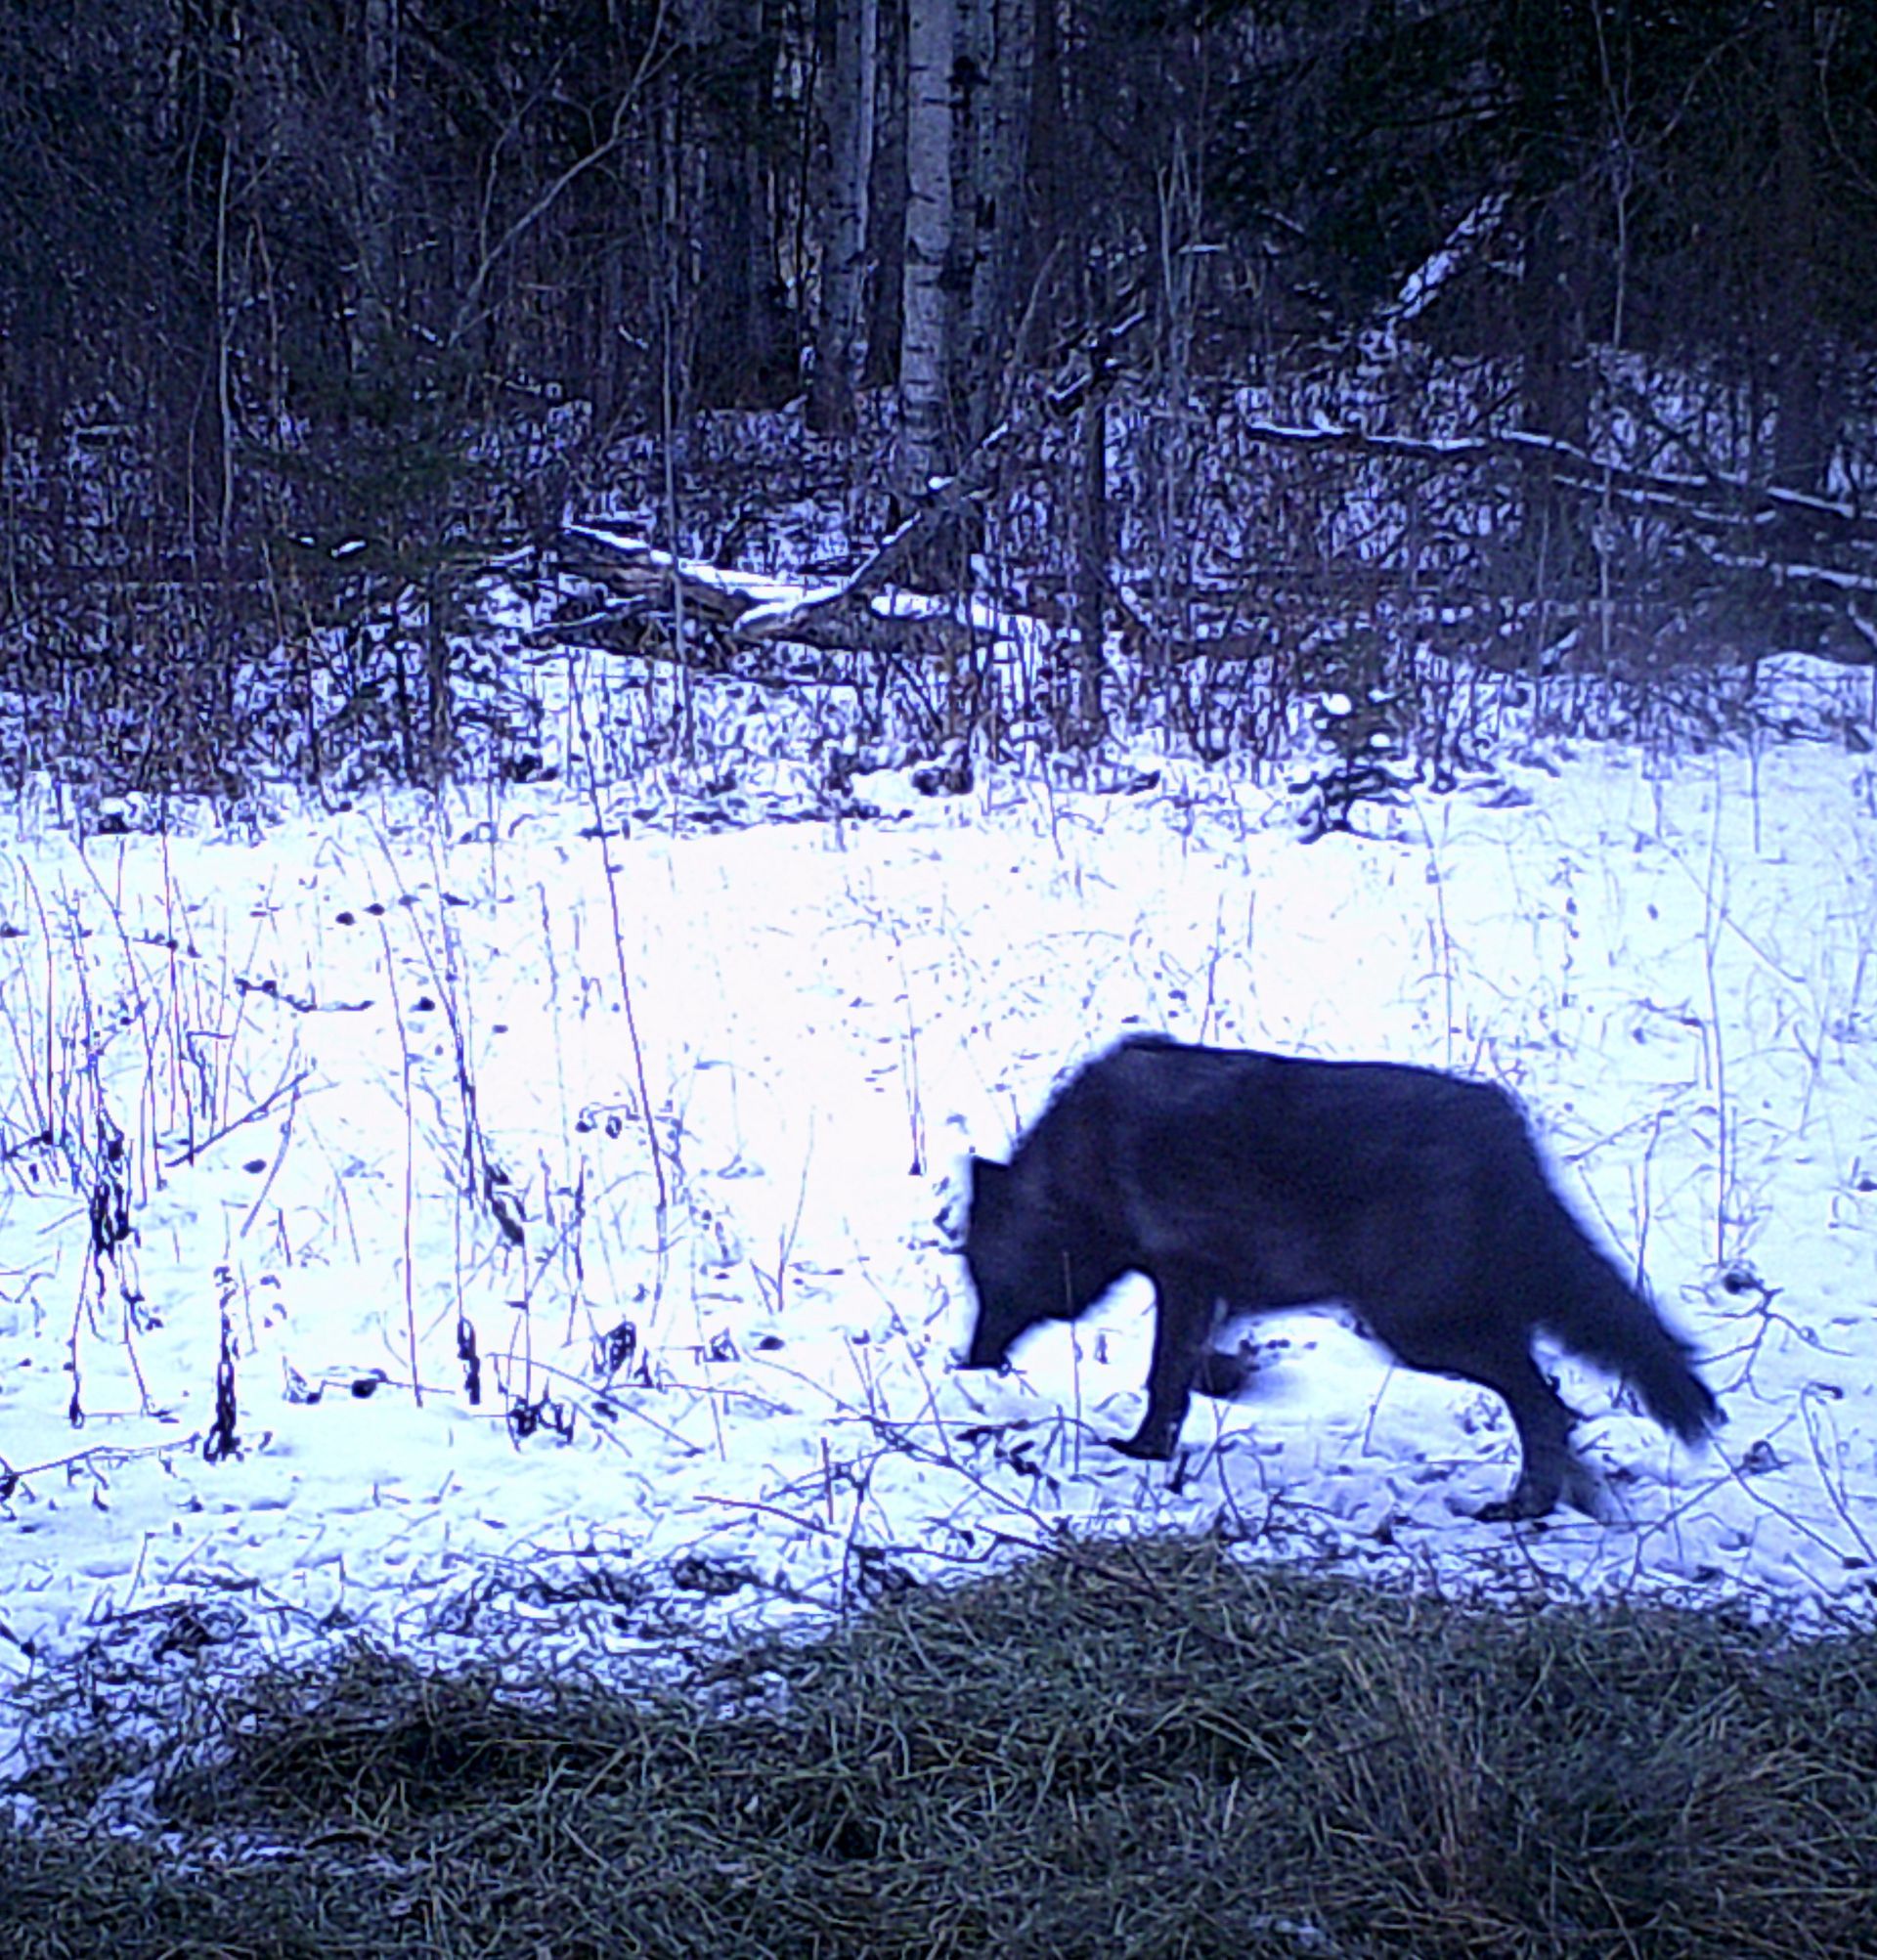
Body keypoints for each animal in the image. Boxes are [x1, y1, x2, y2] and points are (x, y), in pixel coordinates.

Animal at [959, 1034, 1720, 1519]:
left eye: (983, 1278)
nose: (971, 1360)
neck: (1079, 1164)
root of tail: (1505, 1135)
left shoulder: (1184, 1276)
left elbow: (1163, 1377)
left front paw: (1144, 1450)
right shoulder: (1212, 1289)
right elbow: (1191, 1371)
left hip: (1416, 1331)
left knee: (1545, 1406)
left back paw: (1522, 1507)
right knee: (1555, 1409)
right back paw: (1571, 1500)